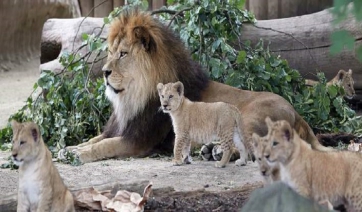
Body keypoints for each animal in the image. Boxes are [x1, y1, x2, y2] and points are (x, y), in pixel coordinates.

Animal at [66, 9, 330, 163]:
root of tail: (297, 113)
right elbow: (94, 139)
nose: (104, 72)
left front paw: (79, 154)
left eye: (122, 54)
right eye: (111, 52)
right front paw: (70, 148)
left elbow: (105, 146)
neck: (131, 97)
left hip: (249, 117)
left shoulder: (138, 141)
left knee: (254, 147)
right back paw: (209, 150)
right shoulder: (118, 129)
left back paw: (217, 152)